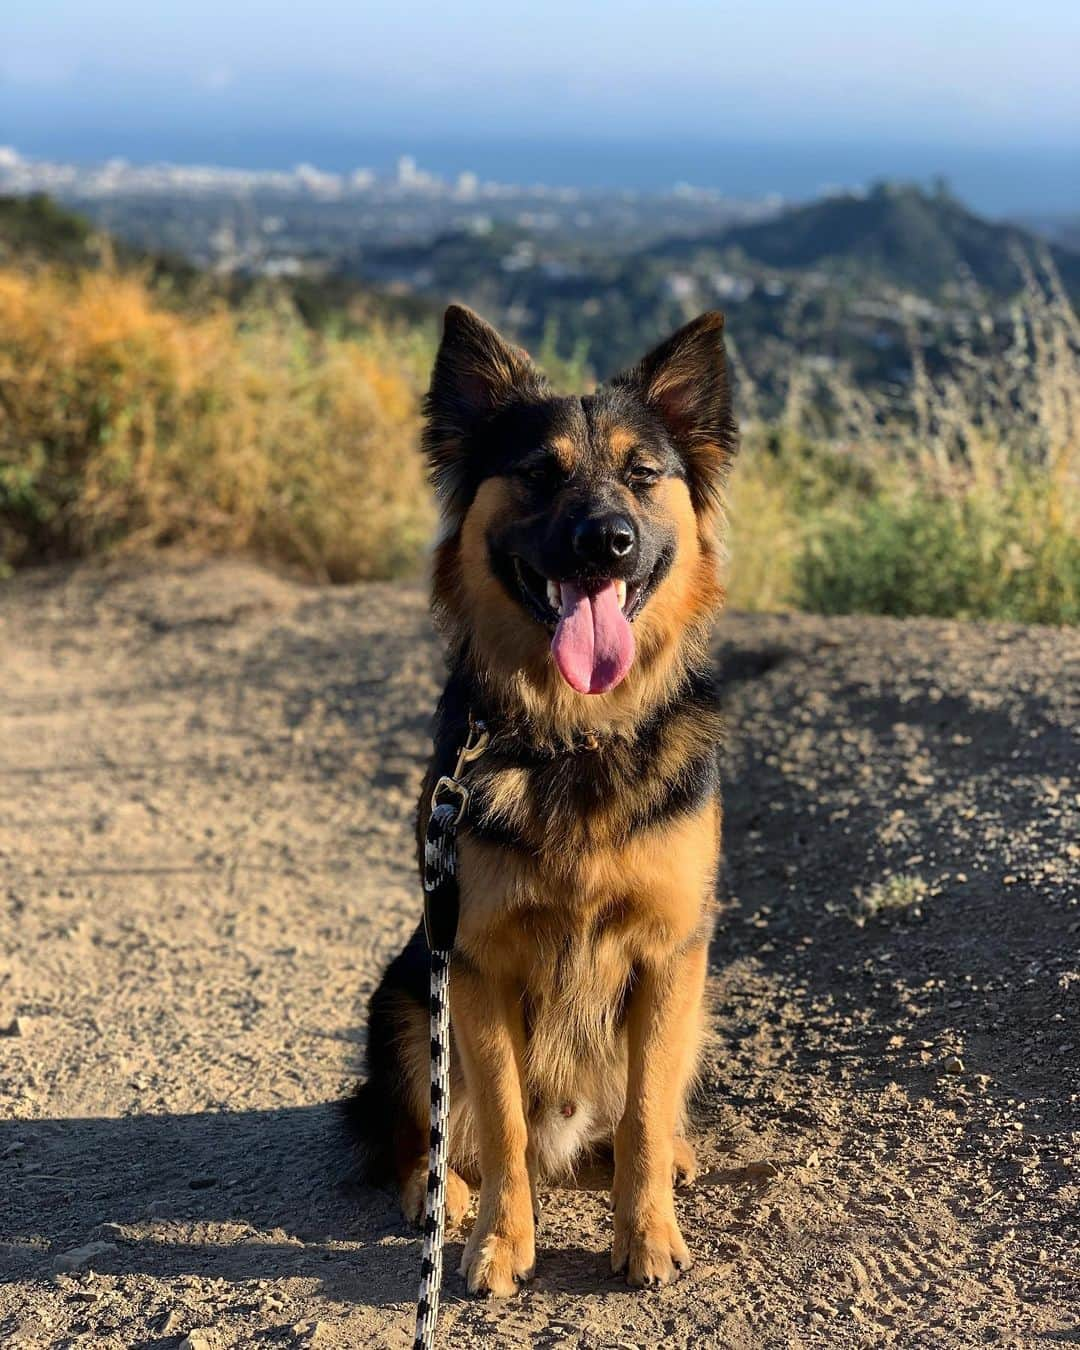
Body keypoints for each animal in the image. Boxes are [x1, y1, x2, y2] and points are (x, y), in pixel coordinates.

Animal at [351, 303, 739, 1296]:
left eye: (643, 476)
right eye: (537, 473)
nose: (609, 542)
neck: (574, 737)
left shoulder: (668, 956)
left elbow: (642, 1113)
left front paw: (647, 1232)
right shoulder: (477, 963)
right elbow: (504, 1120)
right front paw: (499, 1242)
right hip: (405, 996)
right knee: (424, 1132)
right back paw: (441, 1192)